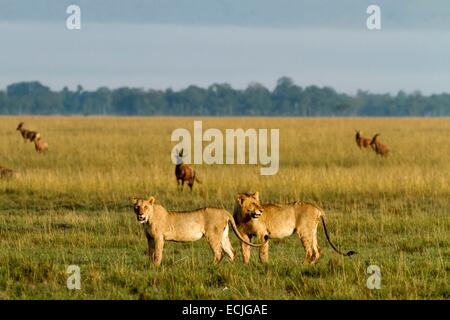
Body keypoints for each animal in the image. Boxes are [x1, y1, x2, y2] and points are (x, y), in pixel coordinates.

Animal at [129, 196, 264, 266]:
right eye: (136, 207)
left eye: (146, 207)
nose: (140, 215)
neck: (148, 220)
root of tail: (224, 211)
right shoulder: (150, 238)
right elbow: (150, 252)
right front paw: (151, 266)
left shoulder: (158, 237)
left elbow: (157, 253)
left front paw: (156, 266)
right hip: (223, 235)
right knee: (231, 251)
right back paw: (229, 267)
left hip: (212, 235)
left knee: (219, 252)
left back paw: (212, 266)